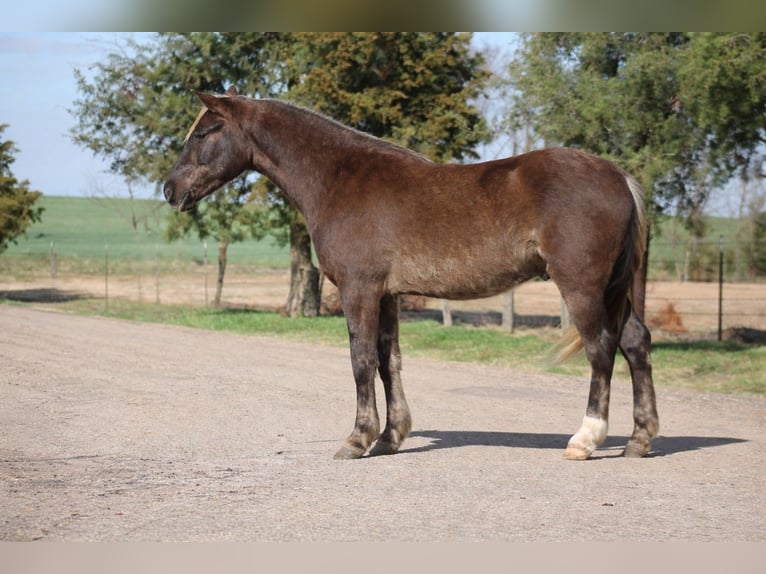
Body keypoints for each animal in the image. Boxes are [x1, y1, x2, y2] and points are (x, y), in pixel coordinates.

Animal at [164, 85, 659, 461]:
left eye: (204, 132)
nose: (170, 189)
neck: (339, 178)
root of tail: (620, 177)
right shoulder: (387, 294)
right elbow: (389, 361)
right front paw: (390, 436)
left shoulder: (359, 290)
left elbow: (362, 360)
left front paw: (357, 439)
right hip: (617, 290)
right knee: (636, 343)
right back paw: (639, 439)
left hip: (583, 288)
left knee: (601, 350)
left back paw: (585, 439)